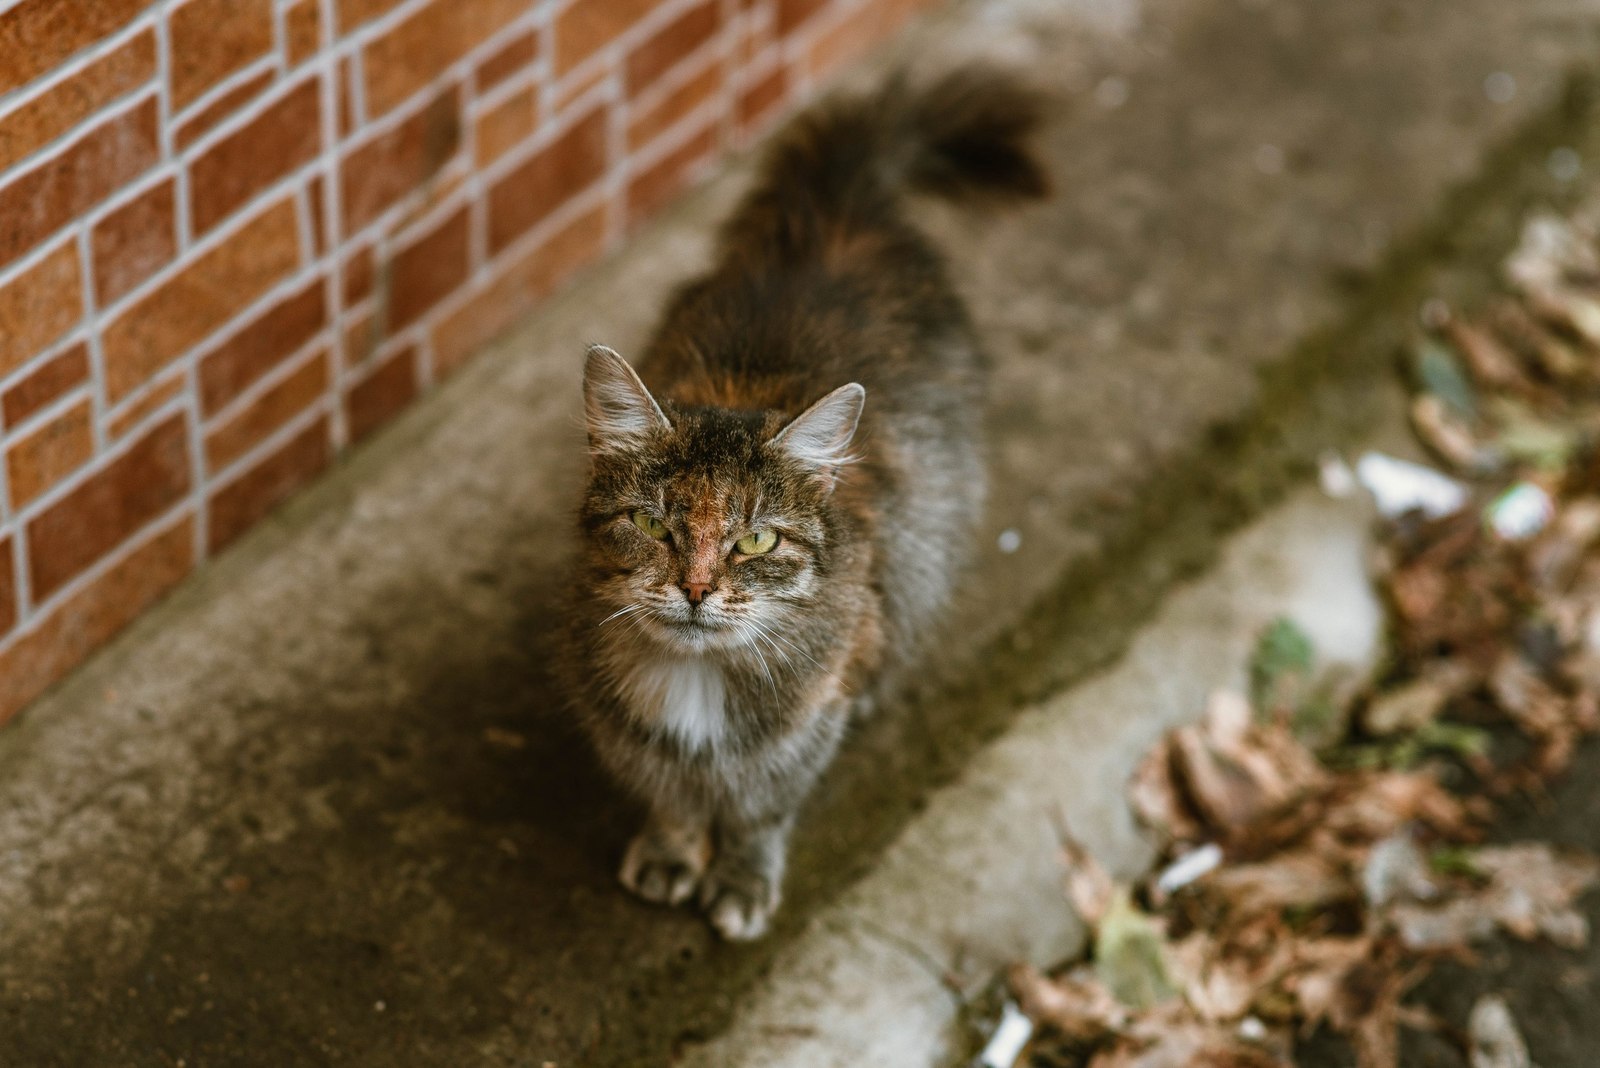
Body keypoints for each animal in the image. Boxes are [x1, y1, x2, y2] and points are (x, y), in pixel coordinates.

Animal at [563, 66, 1049, 940]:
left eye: (756, 542)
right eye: (652, 523)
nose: (696, 590)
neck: (698, 681)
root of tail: (839, 207)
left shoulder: (803, 730)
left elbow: (761, 810)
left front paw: (742, 876)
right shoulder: (630, 735)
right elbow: (669, 794)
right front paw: (672, 848)